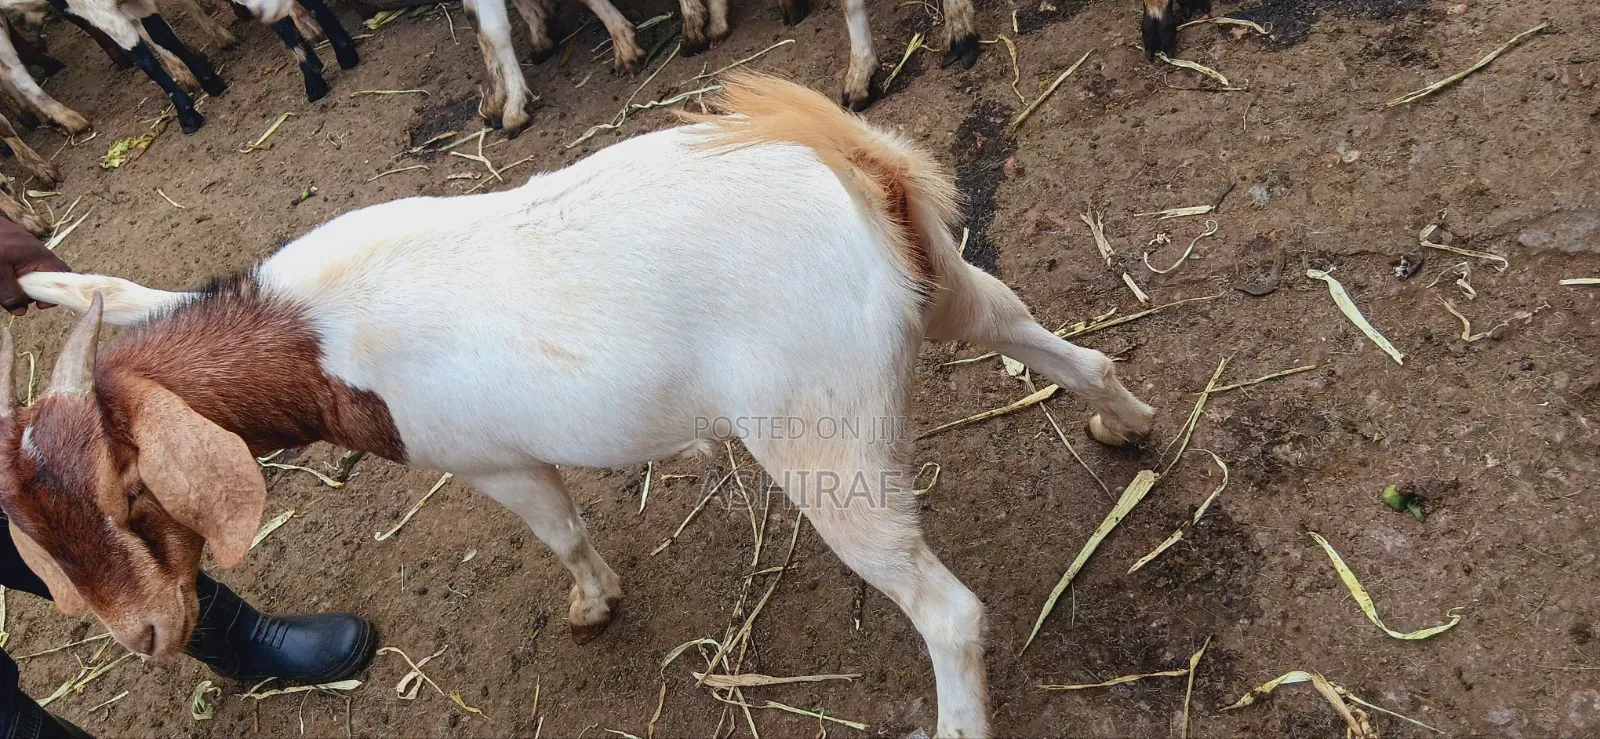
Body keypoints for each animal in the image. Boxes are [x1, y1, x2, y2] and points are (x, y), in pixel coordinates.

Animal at [1, 74, 1155, 737]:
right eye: (31, 526)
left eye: (130, 495)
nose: (147, 637)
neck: (315, 335)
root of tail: (857, 169)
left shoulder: (491, 460)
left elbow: (557, 530)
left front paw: (594, 604)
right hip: (951, 290)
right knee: (1064, 348)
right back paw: (1125, 423)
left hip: (825, 438)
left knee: (947, 609)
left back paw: (958, 721)